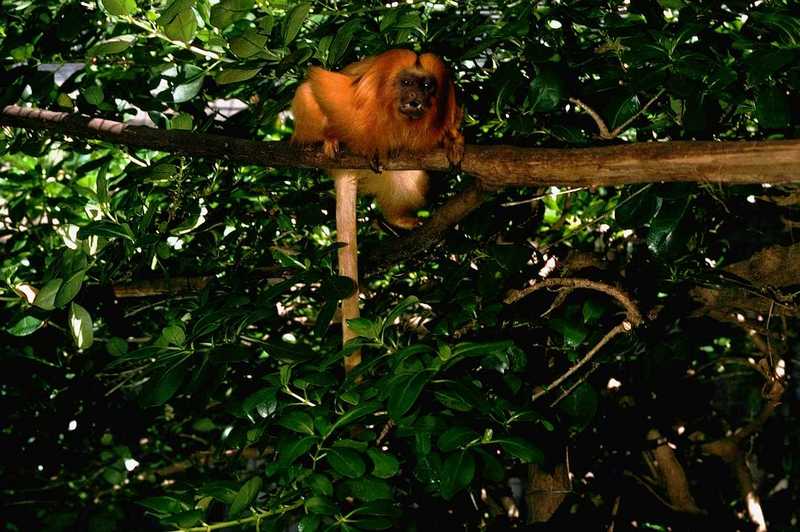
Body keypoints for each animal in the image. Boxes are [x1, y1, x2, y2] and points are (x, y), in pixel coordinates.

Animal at [290, 50, 462, 374]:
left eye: (427, 86)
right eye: (406, 83)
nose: (416, 99)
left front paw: (452, 141)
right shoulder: (357, 98)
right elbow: (315, 87)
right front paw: (332, 137)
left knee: (409, 176)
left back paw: (398, 220)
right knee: (308, 96)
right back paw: (329, 140)